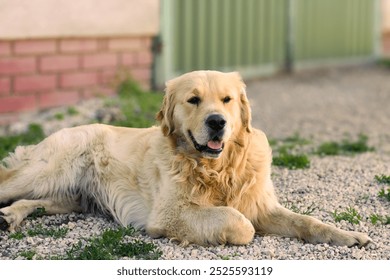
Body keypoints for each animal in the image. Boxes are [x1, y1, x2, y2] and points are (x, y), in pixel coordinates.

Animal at [0, 70, 372, 247]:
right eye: (193, 100)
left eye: (227, 100)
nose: (217, 122)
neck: (218, 169)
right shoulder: (170, 213)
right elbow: (240, 223)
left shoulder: (261, 204)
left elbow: (307, 222)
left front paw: (347, 236)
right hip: (46, 171)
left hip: (72, 196)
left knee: (37, 202)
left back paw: (11, 216)